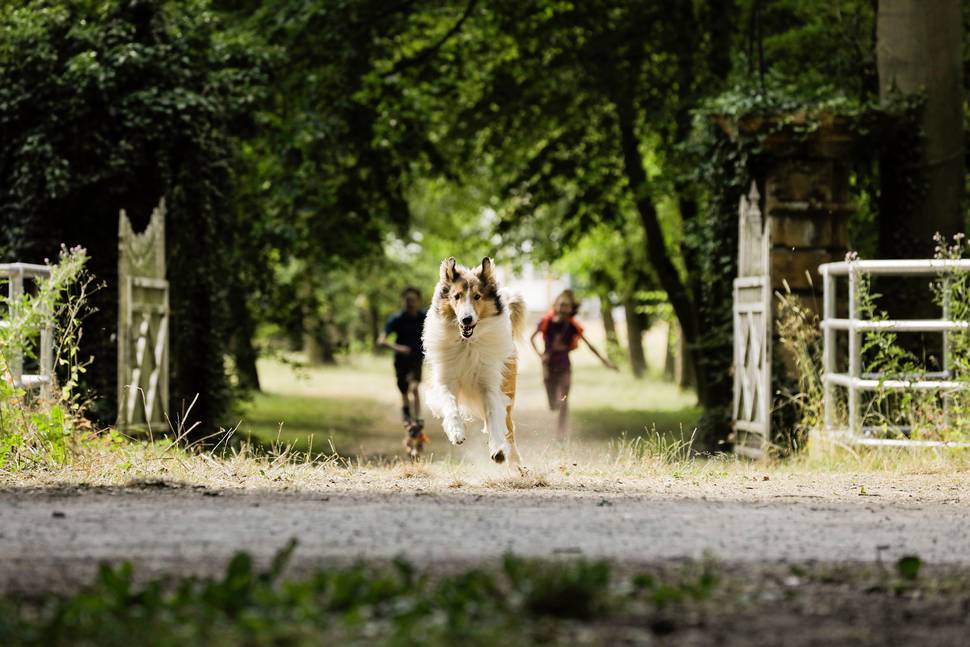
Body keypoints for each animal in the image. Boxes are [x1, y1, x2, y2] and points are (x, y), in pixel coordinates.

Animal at [424, 256, 524, 464]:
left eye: (477, 296)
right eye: (456, 296)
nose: (466, 320)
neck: (467, 343)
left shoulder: (489, 385)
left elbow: (494, 415)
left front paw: (498, 449)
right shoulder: (446, 380)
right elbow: (450, 405)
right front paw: (457, 433)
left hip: (508, 392)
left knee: (509, 428)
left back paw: (514, 461)